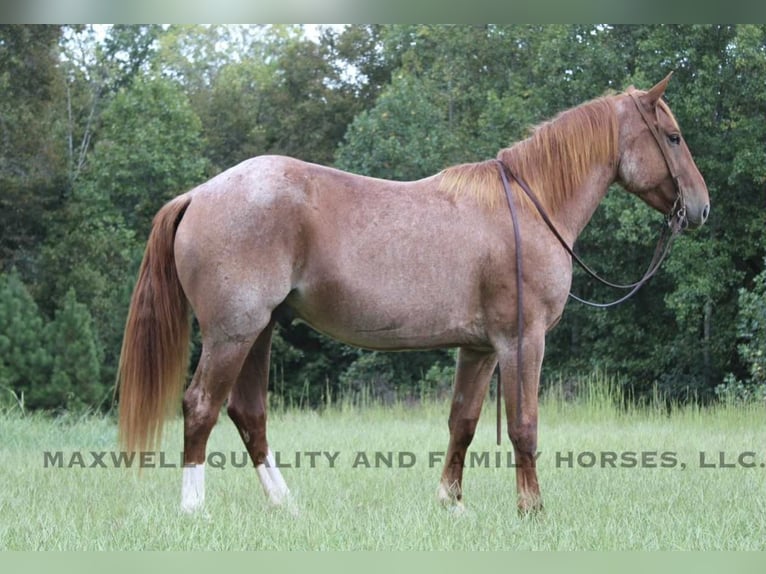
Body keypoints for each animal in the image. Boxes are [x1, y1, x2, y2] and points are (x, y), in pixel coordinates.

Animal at [117, 74, 709, 515]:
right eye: (673, 136)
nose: (701, 208)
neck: (529, 206)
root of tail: (199, 194)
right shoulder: (523, 341)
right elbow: (524, 425)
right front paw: (531, 509)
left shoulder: (480, 348)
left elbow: (463, 423)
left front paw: (451, 503)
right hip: (232, 333)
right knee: (201, 407)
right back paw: (194, 508)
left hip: (257, 331)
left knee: (248, 412)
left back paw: (286, 504)